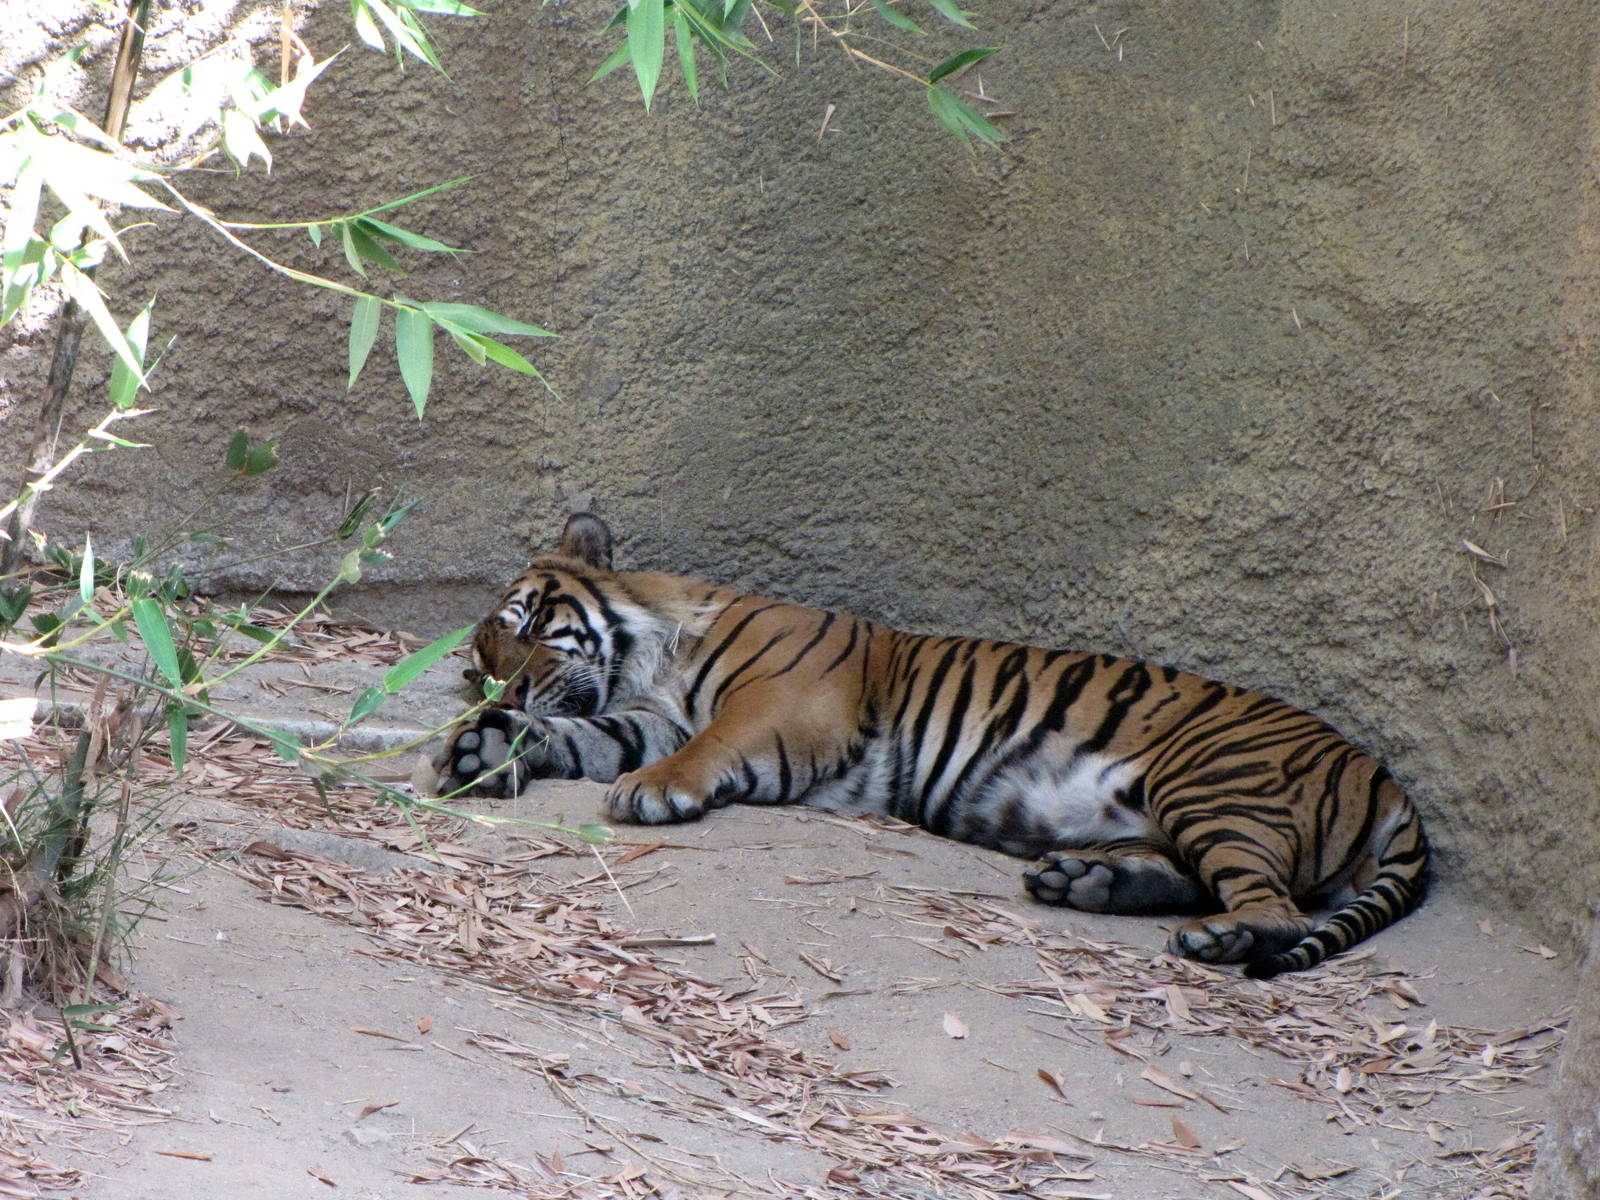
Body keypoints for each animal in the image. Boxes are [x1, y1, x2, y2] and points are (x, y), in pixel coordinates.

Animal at [421, 513, 1429, 978]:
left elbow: (699, 748)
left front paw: (646, 792)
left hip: (1211, 782)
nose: (503, 689)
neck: (655, 657)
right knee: (1195, 876)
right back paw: (1087, 883)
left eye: (528, 625)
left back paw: (1215, 939)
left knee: (1276, 910)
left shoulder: (783, 703)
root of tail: (1381, 776)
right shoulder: (647, 715)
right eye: (476, 667)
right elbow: (581, 736)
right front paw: (484, 747)